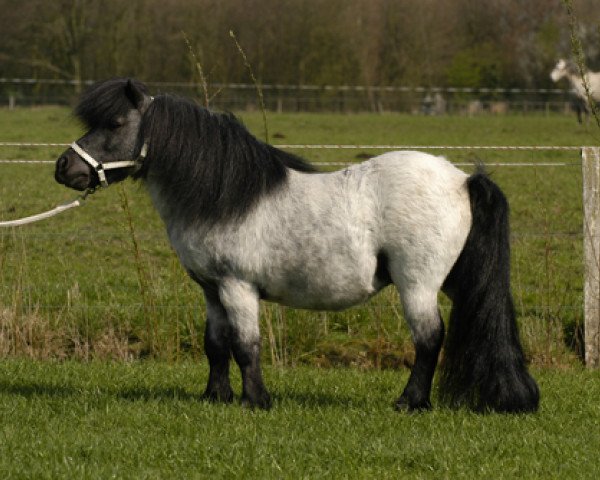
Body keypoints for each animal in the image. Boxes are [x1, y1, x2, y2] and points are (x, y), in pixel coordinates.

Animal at [55, 79, 540, 412]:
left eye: (116, 123)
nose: (64, 168)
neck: (223, 196)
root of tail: (461, 179)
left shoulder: (237, 287)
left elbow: (245, 345)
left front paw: (256, 401)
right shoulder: (212, 290)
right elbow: (216, 344)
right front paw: (216, 397)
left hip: (417, 285)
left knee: (428, 339)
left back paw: (410, 402)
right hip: (454, 282)